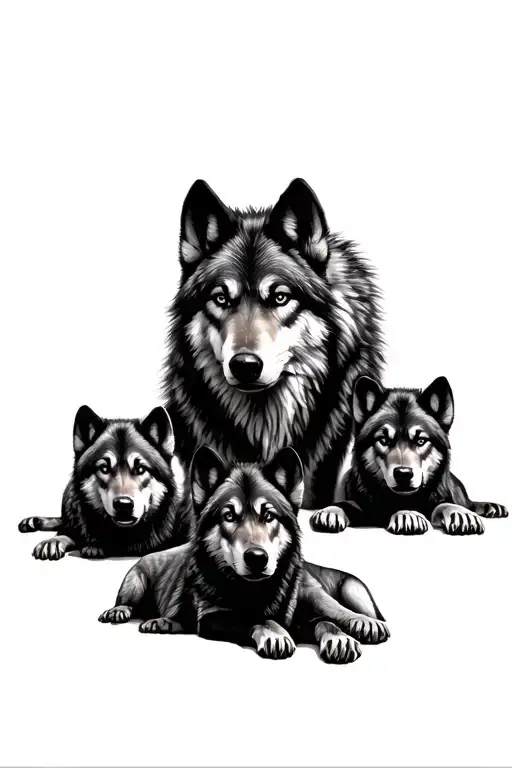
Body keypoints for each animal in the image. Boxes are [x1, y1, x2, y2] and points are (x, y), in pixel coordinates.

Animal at [99, 446, 389, 664]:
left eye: (268, 516)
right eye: (229, 516)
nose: (257, 558)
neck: (256, 592)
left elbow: (324, 622)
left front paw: (339, 637)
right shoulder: (212, 617)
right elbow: (252, 619)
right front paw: (274, 633)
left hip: (330, 592)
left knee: (336, 609)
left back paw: (364, 622)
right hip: (135, 581)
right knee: (132, 603)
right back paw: (137, 615)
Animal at [310, 375, 508, 535]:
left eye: (420, 441)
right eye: (384, 440)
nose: (403, 474)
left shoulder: (437, 499)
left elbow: (445, 504)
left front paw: (459, 513)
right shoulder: (364, 503)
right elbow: (347, 504)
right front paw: (330, 511)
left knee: (469, 502)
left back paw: (490, 507)